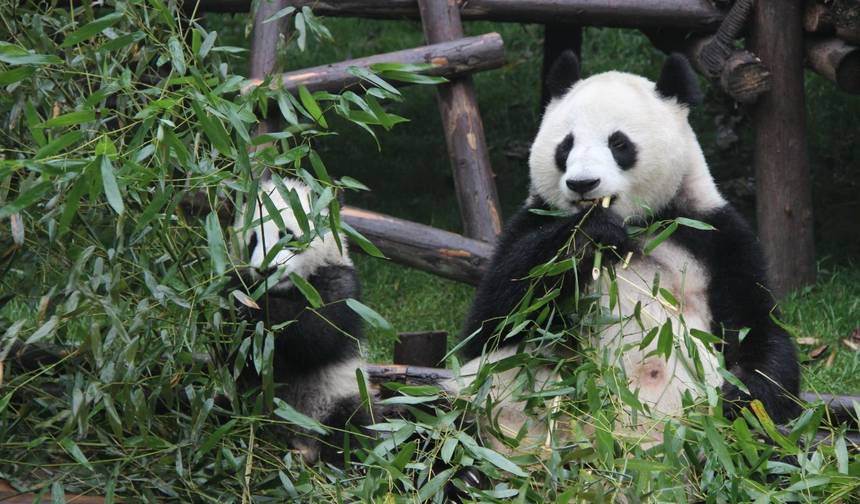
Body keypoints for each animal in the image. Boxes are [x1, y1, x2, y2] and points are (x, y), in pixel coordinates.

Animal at [232, 176, 373, 464]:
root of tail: (303, 445)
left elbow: (316, 335)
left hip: (339, 396)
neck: (285, 289)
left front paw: (255, 309)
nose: (266, 270)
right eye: (252, 240)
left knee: (350, 435)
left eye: (287, 235)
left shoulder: (340, 286)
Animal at [448, 52, 800, 455]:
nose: (582, 183)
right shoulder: (529, 224)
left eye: (619, 144)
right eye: (565, 145)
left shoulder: (716, 238)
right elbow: (490, 326)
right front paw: (588, 234)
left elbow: (759, 335)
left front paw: (737, 402)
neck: (634, 224)